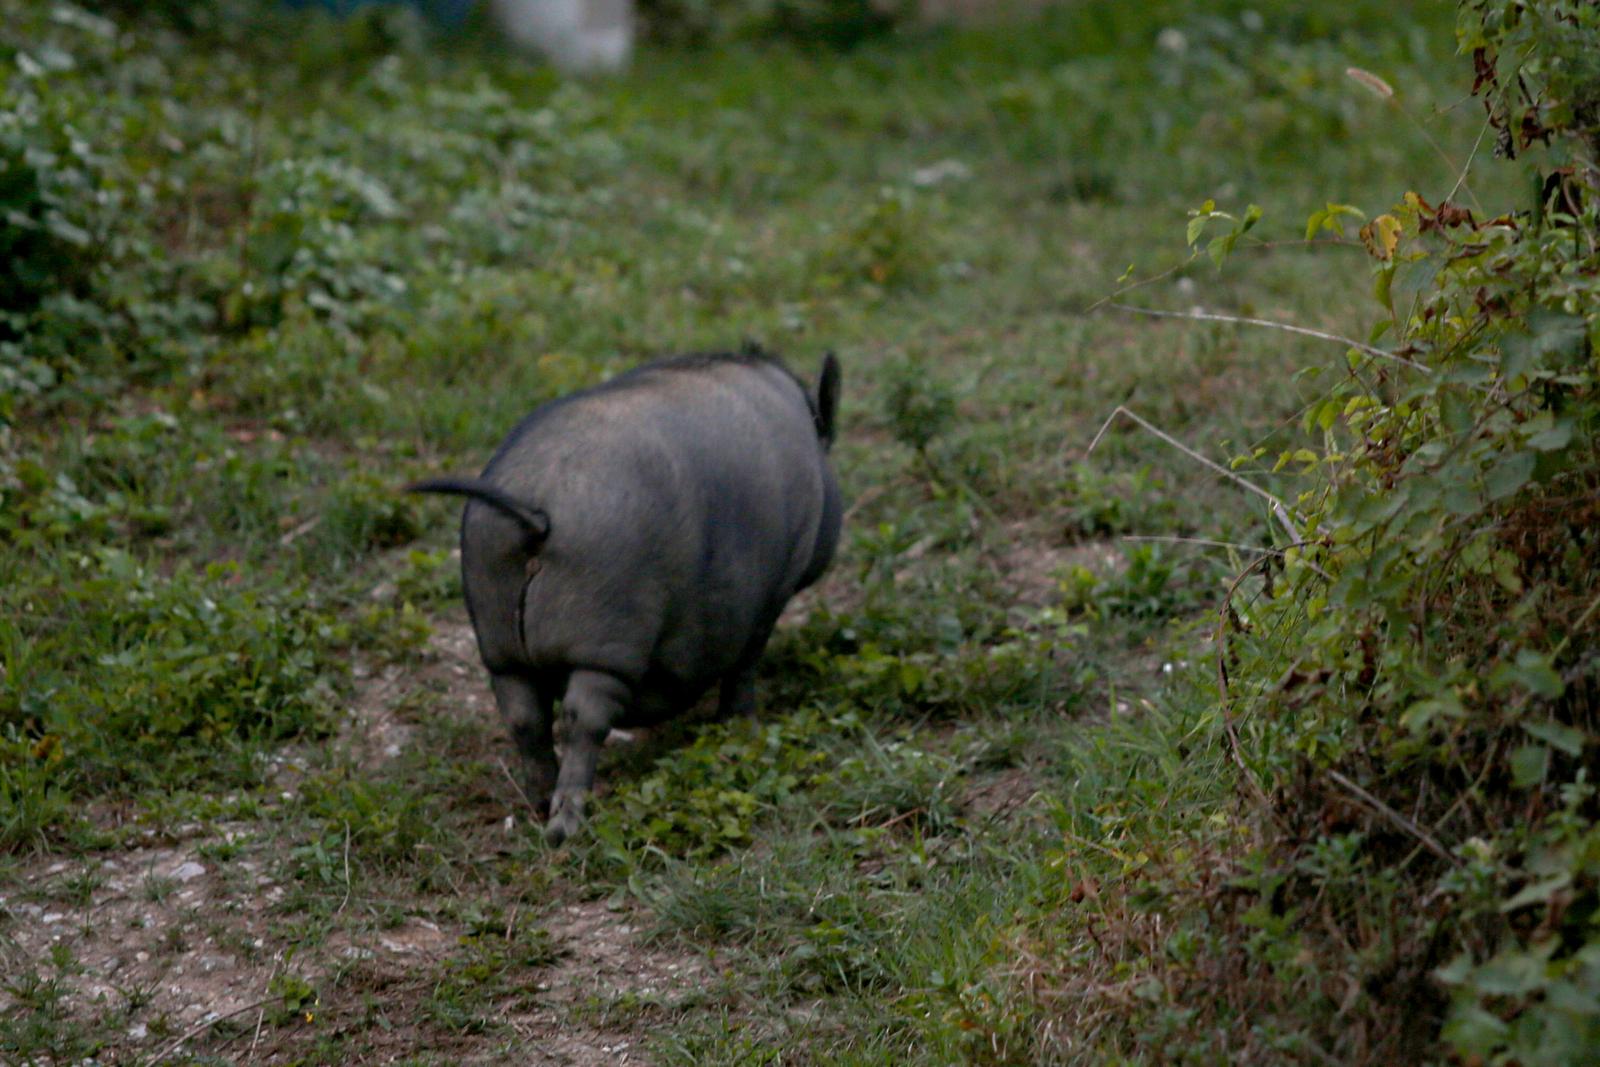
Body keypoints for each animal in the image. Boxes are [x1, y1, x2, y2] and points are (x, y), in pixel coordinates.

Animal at [406, 348, 844, 844]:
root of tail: (536, 509)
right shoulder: (773, 594)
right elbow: (744, 669)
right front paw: (744, 729)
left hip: (499, 641)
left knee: (524, 717)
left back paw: (539, 804)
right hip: (606, 638)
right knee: (582, 717)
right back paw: (565, 826)